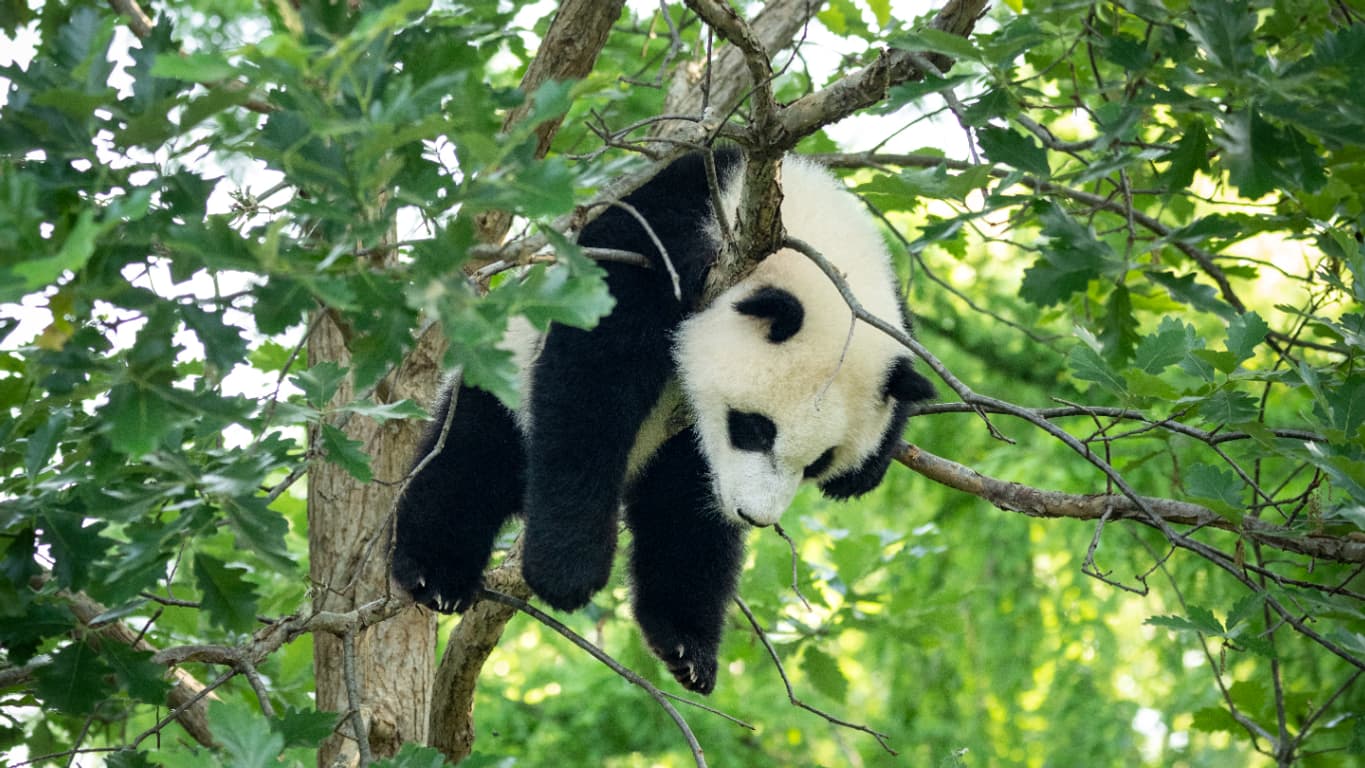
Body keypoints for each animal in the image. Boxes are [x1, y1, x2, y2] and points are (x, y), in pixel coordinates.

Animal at [392, 149, 934, 694]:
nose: (754, 515)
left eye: (818, 462)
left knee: (685, 521)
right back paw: (434, 573)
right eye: (755, 428)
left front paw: (867, 468)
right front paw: (567, 572)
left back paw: (685, 644)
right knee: (474, 456)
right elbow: (592, 376)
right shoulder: (658, 236)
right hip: (504, 379)